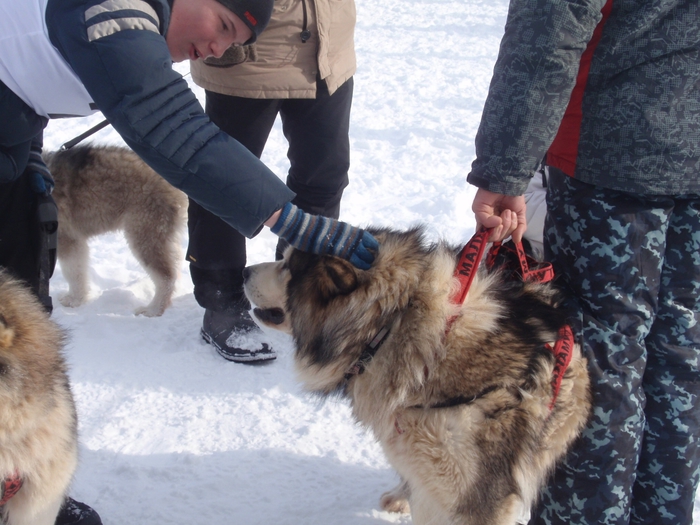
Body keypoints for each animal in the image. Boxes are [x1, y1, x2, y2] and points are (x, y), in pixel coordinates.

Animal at [44, 143, 187, 316]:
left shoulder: (67, 238)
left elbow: (73, 272)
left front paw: (74, 299)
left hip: (144, 234)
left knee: (166, 276)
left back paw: (153, 309)